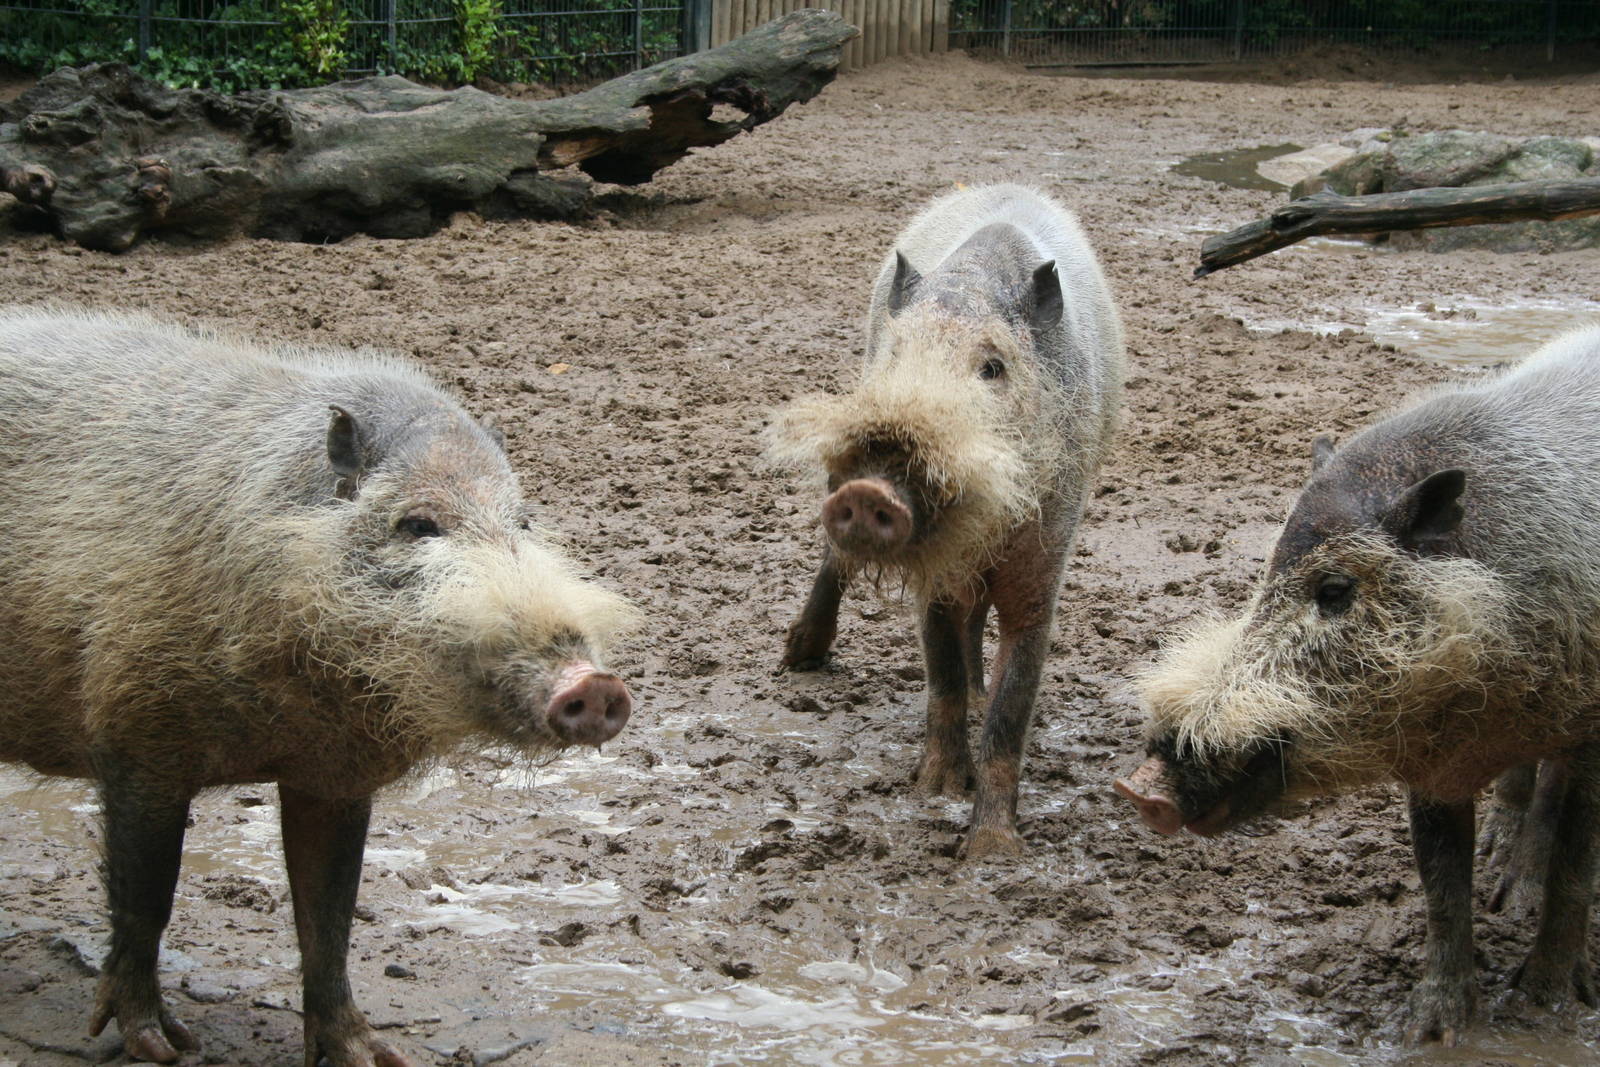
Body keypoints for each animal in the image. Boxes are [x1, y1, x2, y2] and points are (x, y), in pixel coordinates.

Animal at [0, 307, 637, 1066]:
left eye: (522, 523)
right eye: (418, 523)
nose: (596, 684)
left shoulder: (335, 777)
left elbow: (330, 920)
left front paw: (374, 1055)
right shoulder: (135, 736)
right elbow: (147, 899)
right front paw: (161, 1045)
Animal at [769, 184, 1124, 859]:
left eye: (993, 367)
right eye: (897, 354)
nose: (869, 489)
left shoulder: (1044, 566)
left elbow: (1012, 708)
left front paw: (991, 852)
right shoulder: (931, 581)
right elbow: (943, 676)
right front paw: (932, 794)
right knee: (837, 562)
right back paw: (797, 658)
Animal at [1116, 325, 1600, 1045]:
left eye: (1336, 589)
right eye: (1265, 576)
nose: (1139, 789)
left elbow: (1575, 871)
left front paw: (1544, 1011)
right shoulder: (1433, 763)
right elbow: (1442, 888)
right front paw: (1427, 1031)